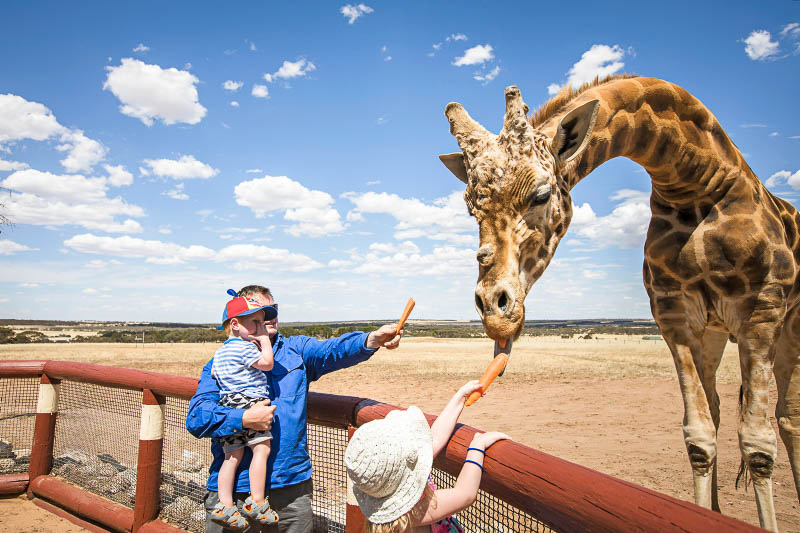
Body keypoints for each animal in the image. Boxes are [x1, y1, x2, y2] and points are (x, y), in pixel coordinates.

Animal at [438, 76, 800, 532]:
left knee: (787, 419)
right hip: (715, 335)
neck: (696, 184)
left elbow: (757, 445)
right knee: (724, 411)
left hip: (788, 328)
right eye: (472, 208)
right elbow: (699, 435)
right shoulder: (674, 315)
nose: (494, 311)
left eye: (540, 195)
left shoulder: (761, 313)